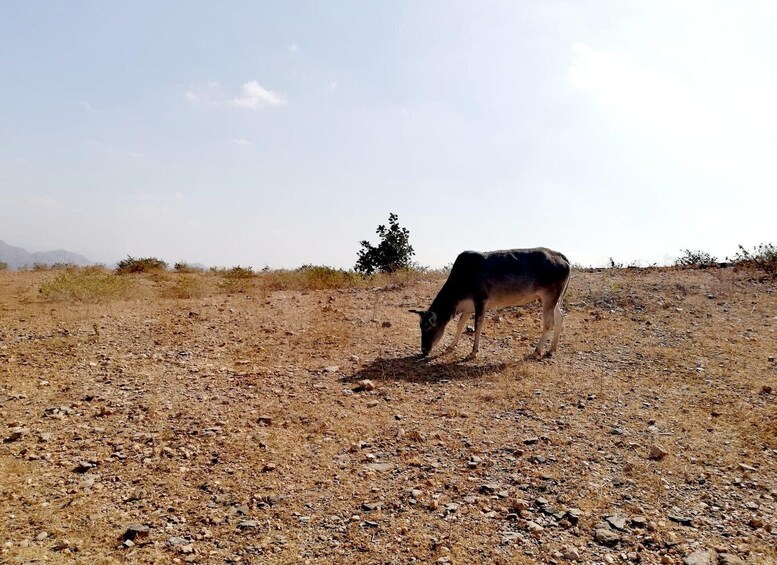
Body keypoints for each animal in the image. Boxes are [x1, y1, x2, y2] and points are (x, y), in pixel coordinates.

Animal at [410, 246, 572, 356]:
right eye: (420, 326)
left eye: (427, 327)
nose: (424, 350)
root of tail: (561, 256)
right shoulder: (468, 307)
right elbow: (460, 325)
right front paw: (451, 346)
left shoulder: (481, 301)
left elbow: (478, 325)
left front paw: (473, 351)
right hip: (553, 299)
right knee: (560, 318)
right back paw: (551, 349)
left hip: (549, 297)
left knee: (549, 323)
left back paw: (537, 351)